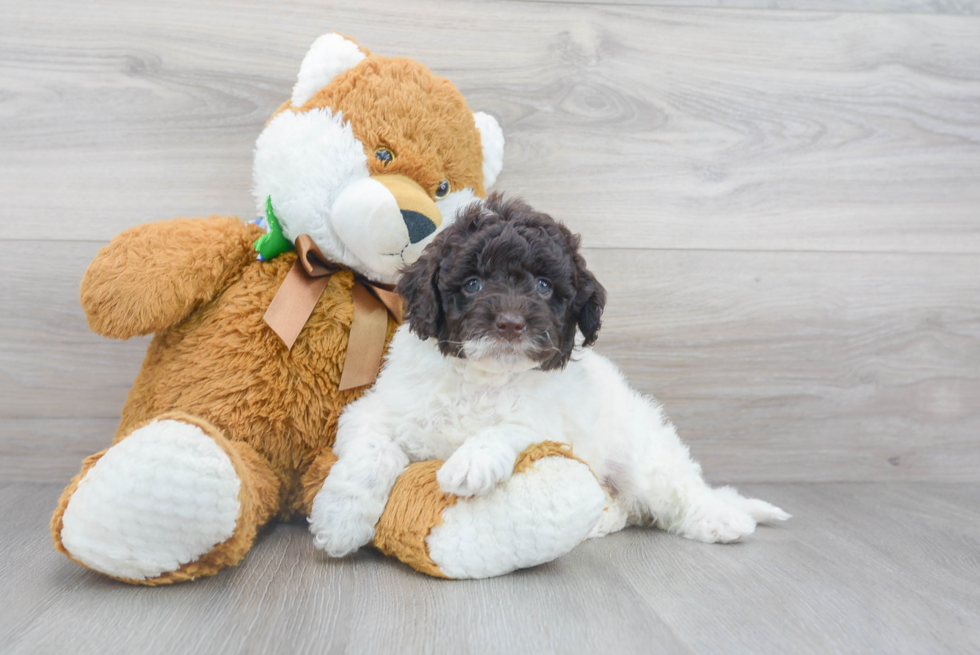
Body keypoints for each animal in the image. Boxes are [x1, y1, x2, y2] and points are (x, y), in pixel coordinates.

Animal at [314, 193, 788, 560]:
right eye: (472, 284)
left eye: (543, 287)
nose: (510, 323)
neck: (485, 378)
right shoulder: (373, 412)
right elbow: (372, 452)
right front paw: (339, 522)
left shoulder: (550, 423)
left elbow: (511, 427)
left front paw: (471, 461)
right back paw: (600, 520)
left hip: (642, 454)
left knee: (676, 489)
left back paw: (723, 518)